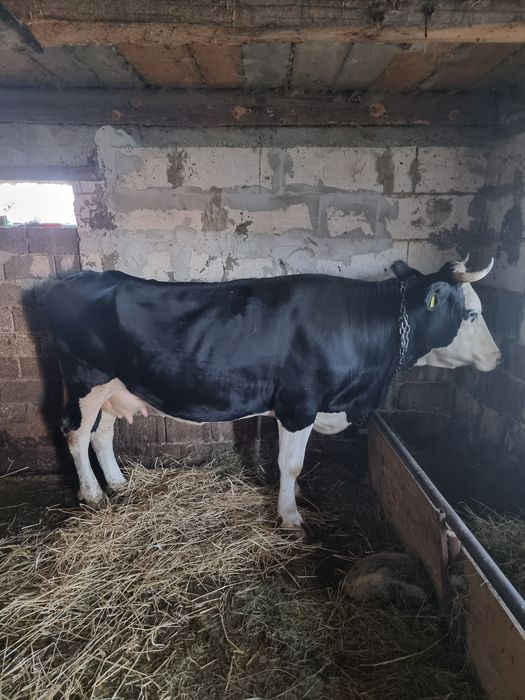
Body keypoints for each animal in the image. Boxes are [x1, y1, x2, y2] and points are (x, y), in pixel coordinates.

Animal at [45, 256, 499, 532]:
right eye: (470, 314)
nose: (498, 357)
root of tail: (77, 276)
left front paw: (294, 500)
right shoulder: (298, 404)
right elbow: (291, 464)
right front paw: (291, 516)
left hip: (113, 388)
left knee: (101, 435)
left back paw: (118, 484)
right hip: (85, 381)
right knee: (75, 434)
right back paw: (91, 495)